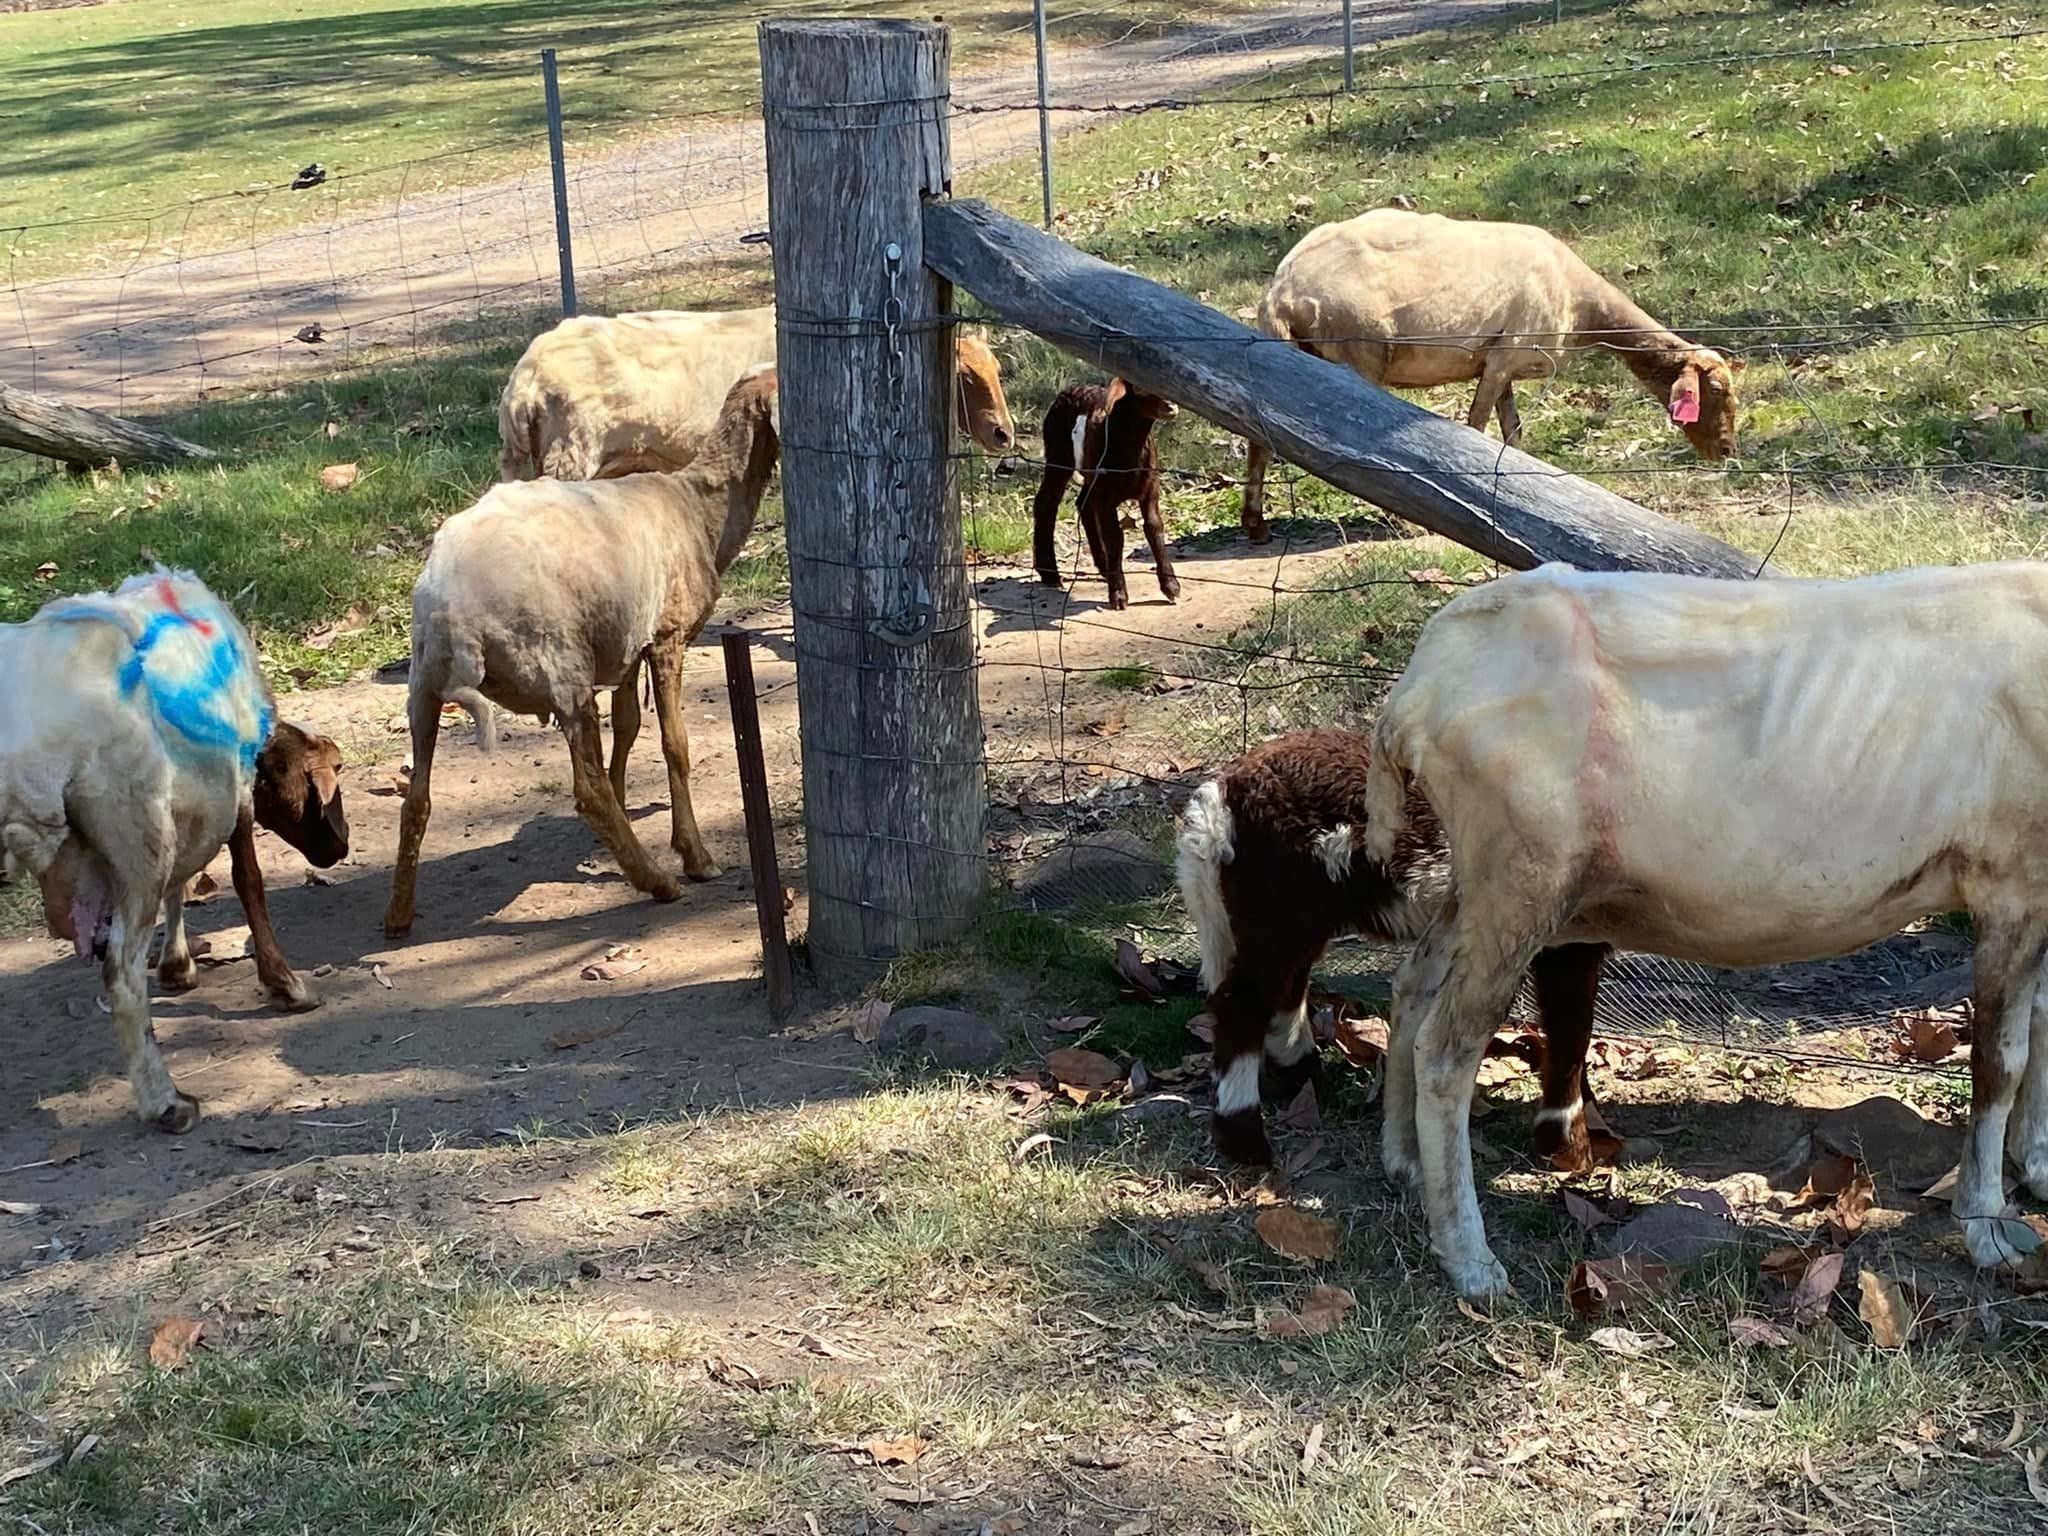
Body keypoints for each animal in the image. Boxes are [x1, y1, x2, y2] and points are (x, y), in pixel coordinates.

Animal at [387, 364, 786, 937]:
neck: (699, 507)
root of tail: (453, 614)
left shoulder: (626, 645)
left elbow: (628, 728)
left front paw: (624, 813)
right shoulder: (665, 637)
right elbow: (674, 744)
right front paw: (694, 855)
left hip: (423, 685)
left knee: (416, 798)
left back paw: (398, 915)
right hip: (560, 668)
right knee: (586, 789)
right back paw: (657, 881)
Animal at [1032, 376, 1179, 610]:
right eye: (1139, 387)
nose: (1171, 406)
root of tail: (1070, 388)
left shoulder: (1150, 489)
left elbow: (1154, 528)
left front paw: (1171, 587)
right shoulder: (1105, 498)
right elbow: (1114, 538)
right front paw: (1118, 595)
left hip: (1090, 474)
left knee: (1083, 503)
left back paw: (1103, 567)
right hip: (1058, 454)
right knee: (1046, 503)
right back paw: (1050, 573)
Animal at [1179, 733, 1605, 1163]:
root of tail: (1219, 795)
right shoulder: (1566, 929)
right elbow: (1571, 1023)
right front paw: (1571, 1143)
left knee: (1285, 986)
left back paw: (1302, 1077)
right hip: (1275, 903)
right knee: (1244, 1003)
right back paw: (1246, 1139)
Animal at [1228, 211, 1744, 540]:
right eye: (1716, 390)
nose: (1726, 451)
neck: (1582, 306)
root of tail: (1282, 291)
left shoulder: (1504, 366)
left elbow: (1512, 434)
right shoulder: (1503, 357)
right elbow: (1476, 429)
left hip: (1280, 355)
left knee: (1258, 438)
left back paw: (1255, 524)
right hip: (1358, 355)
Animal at [1359, 561, 2048, 1302]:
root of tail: (1415, 690)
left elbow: (2042, 1027)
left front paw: (2037, 1168)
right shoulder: (2013, 881)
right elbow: (2000, 1062)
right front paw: (1986, 1226)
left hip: (1482, 881)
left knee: (1413, 986)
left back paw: (1402, 1161)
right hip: (1520, 873)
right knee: (1446, 1052)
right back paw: (1470, 1261)